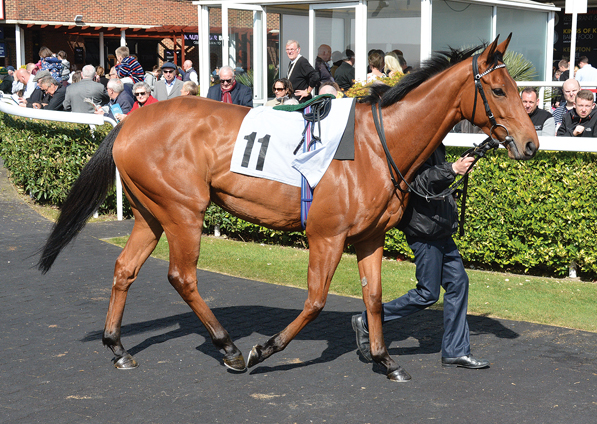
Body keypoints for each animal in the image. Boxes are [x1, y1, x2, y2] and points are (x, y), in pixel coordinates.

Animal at [39, 35, 536, 380]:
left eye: (517, 88)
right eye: (498, 90)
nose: (530, 144)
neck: (377, 145)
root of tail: (129, 123)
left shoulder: (369, 237)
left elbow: (373, 298)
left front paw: (385, 359)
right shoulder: (327, 235)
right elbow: (315, 300)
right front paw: (264, 349)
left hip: (151, 213)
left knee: (125, 268)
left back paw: (118, 347)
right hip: (183, 212)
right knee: (181, 276)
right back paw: (229, 347)